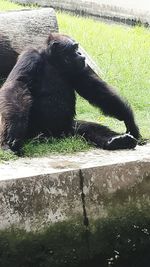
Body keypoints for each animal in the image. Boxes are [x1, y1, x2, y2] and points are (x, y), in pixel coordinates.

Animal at [0, 32, 140, 154]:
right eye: (74, 48)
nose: (80, 54)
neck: (54, 62)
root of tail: (54, 137)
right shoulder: (30, 57)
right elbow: (17, 86)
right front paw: (14, 128)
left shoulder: (80, 68)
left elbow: (95, 90)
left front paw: (129, 120)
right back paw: (7, 145)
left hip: (69, 129)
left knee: (89, 128)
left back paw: (118, 141)